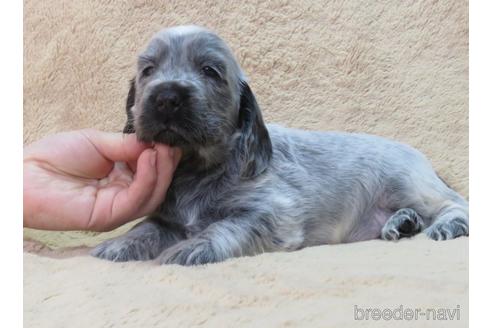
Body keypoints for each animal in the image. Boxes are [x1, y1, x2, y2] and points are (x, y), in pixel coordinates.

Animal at [89, 26, 468, 266]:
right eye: (148, 70)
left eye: (210, 70)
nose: (166, 98)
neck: (198, 168)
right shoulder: (167, 217)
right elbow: (146, 227)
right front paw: (119, 243)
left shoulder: (273, 212)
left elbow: (224, 226)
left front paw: (194, 247)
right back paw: (402, 223)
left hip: (408, 183)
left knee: (455, 203)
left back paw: (446, 225)